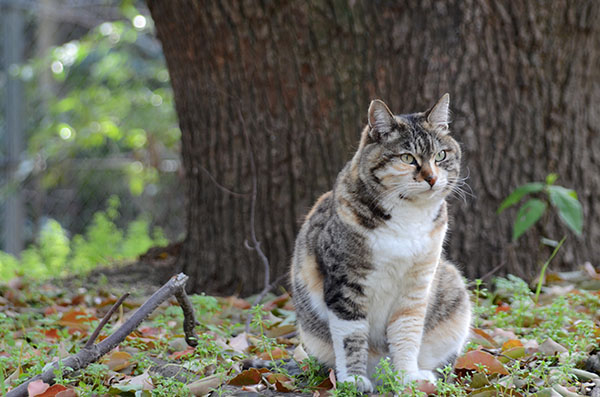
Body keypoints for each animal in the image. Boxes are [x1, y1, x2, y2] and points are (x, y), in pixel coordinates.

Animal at [288, 94, 472, 392]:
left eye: (441, 155)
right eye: (407, 158)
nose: (432, 178)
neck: (408, 218)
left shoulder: (417, 285)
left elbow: (407, 332)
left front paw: (408, 377)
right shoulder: (345, 283)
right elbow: (350, 337)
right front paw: (353, 380)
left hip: (453, 289)